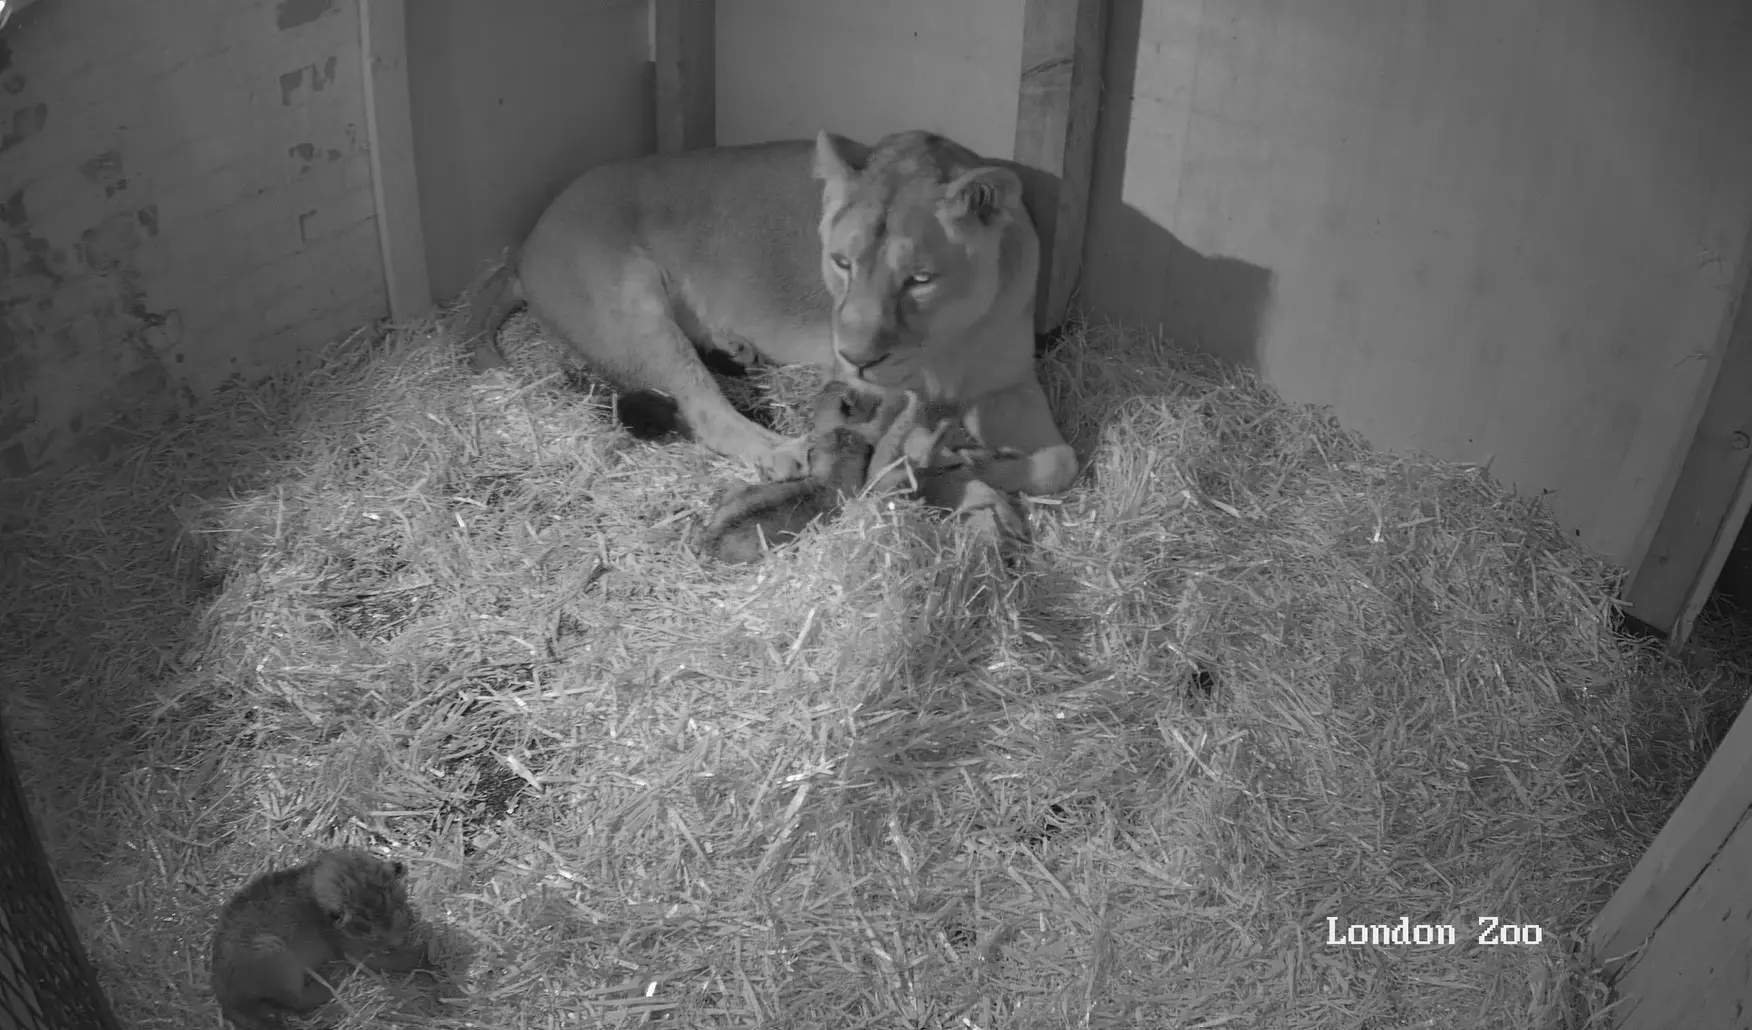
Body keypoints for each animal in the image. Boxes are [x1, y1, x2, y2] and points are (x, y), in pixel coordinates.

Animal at [459, 130, 1072, 500]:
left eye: (919, 279)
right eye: (841, 263)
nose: (855, 357)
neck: (946, 343)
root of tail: (528, 241)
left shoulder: (1013, 383)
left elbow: (1062, 462)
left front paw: (972, 465)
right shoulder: (868, 392)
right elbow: (890, 443)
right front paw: (931, 462)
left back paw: (733, 347)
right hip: (632, 310)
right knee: (704, 407)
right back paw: (784, 451)